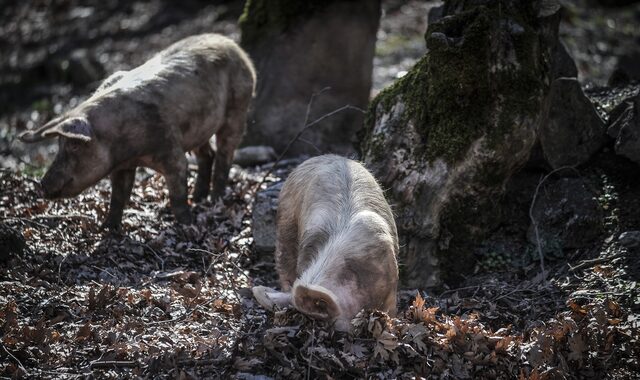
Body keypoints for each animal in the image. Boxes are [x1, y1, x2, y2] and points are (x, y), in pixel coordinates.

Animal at [18, 34, 256, 229]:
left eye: (75, 145)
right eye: (59, 145)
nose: (42, 184)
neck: (126, 148)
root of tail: (237, 49)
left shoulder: (170, 148)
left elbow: (177, 193)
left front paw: (187, 225)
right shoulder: (123, 166)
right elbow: (117, 196)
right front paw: (106, 230)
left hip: (238, 107)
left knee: (225, 154)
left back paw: (215, 199)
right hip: (200, 127)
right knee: (207, 154)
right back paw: (199, 198)